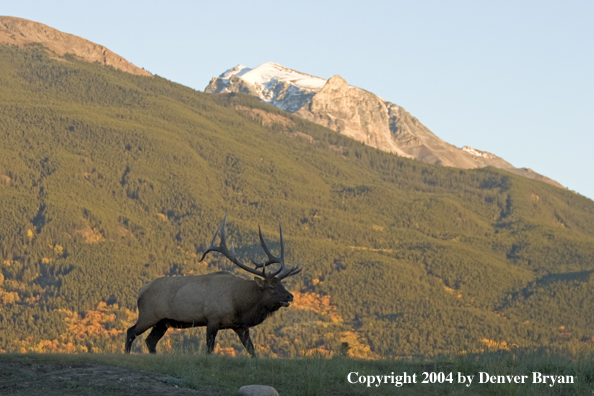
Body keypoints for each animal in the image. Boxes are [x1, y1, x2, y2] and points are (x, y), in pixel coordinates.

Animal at [123, 215, 300, 358]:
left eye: (281, 283)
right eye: (271, 287)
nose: (290, 296)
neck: (240, 305)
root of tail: (140, 291)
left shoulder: (240, 326)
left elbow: (251, 349)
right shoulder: (213, 318)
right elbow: (209, 348)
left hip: (163, 321)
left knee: (150, 341)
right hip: (148, 315)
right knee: (131, 331)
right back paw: (126, 353)